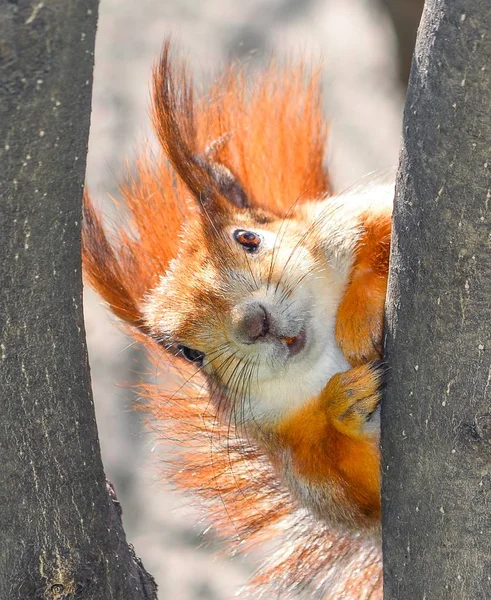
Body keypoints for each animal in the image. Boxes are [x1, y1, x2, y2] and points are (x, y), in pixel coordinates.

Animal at [82, 43, 394, 600]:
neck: (323, 359)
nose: (253, 324)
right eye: (190, 354)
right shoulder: (296, 456)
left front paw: (359, 313)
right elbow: (357, 498)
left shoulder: (354, 216)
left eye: (248, 237)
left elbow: (381, 228)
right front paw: (343, 404)